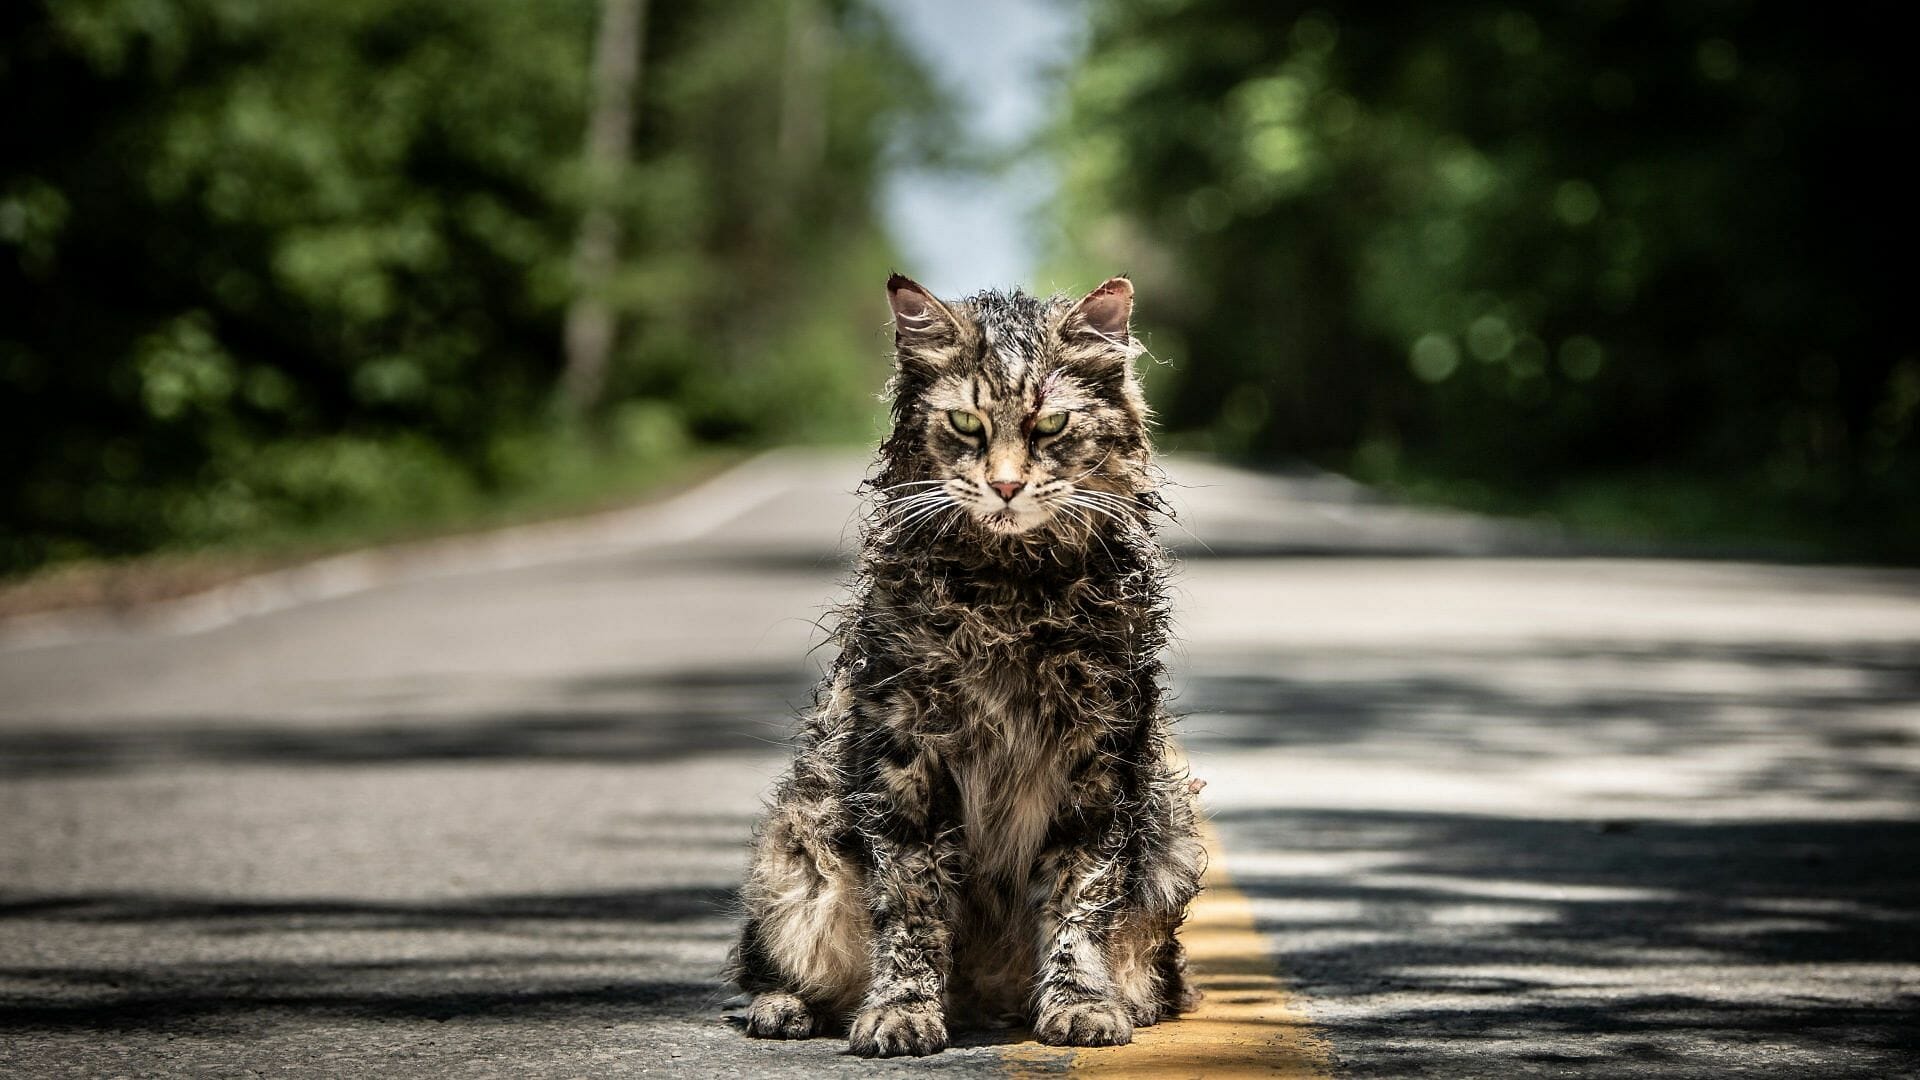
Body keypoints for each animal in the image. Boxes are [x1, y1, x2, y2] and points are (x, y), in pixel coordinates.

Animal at [725, 272, 1205, 1053]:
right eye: (966, 425)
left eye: (1050, 426)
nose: (1006, 486)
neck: (1011, 594)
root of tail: (983, 1002)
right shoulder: (905, 757)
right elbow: (913, 905)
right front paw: (902, 1012)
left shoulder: (1100, 760)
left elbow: (1079, 899)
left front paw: (1080, 1003)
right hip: (796, 850)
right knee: (773, 964)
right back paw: (787, 1007)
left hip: (1173, 837)